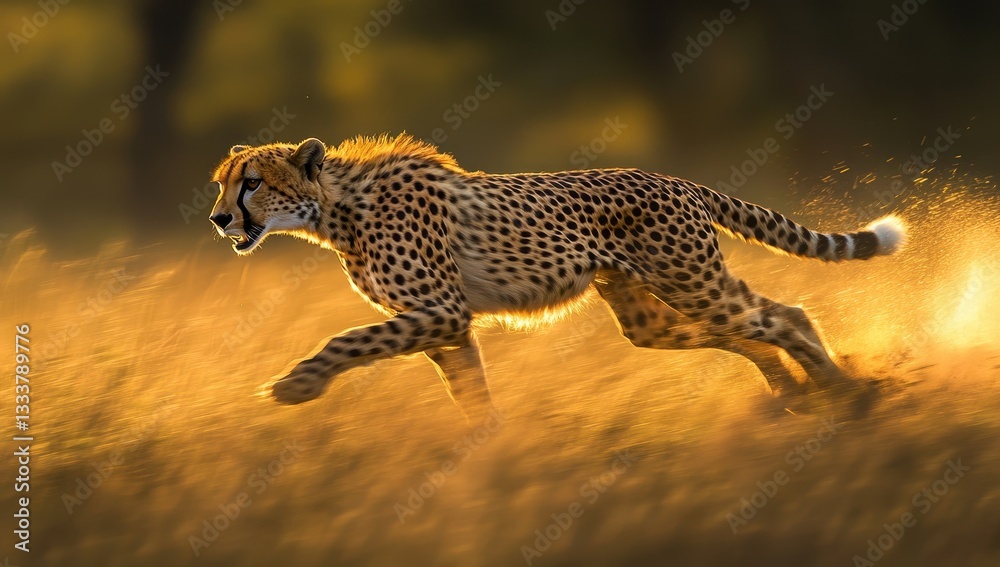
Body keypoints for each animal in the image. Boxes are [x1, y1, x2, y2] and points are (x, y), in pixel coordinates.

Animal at [208, 134, 906, 419]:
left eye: (253, 183)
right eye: (222, 182)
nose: (218, 218)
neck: (335, 208)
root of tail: (675, 179)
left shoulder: (441, 311)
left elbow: (348, 339)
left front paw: (298, 384)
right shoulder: (443, 326)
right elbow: (471, 394)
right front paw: (487, 455)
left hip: (692, 281)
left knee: (782, 315)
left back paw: (847, 391)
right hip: (647, 315)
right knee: (744, 330)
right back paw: (794, 393)